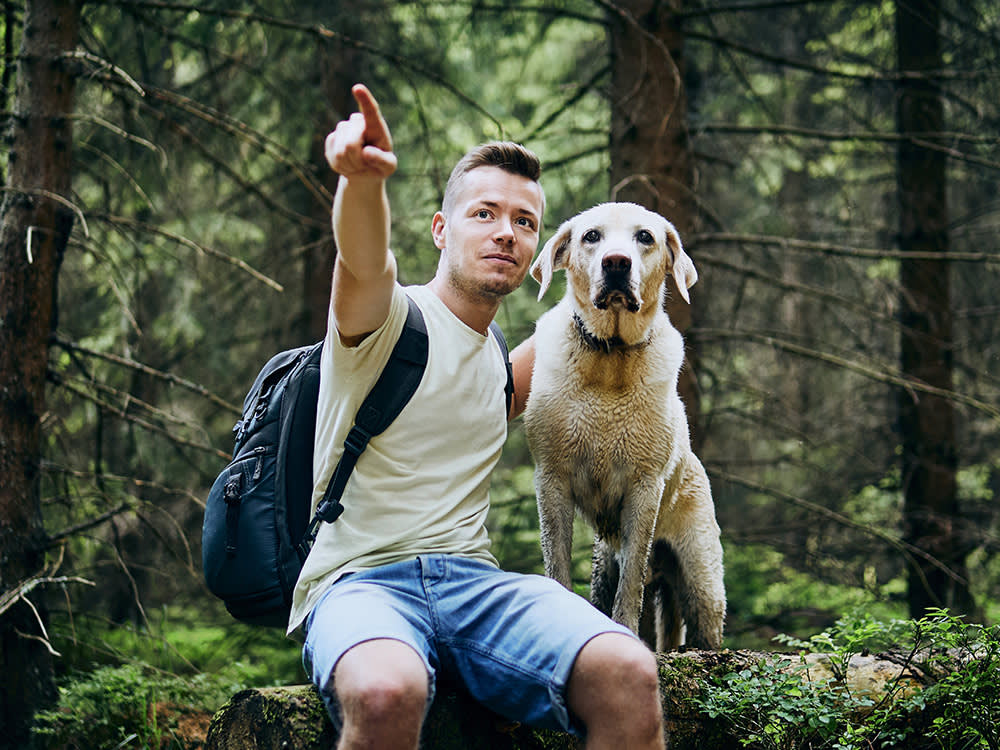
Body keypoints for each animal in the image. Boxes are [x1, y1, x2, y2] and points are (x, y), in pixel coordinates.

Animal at [524, 201, 728, 652]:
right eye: (591, 236)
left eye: (645, 237)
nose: (616, 262)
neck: (609, 357)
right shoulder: (552, 482)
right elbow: (557, 566)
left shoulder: (644, 489)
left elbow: (632, 581)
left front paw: (627, 633)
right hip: (604, 564)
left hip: (701, 580)